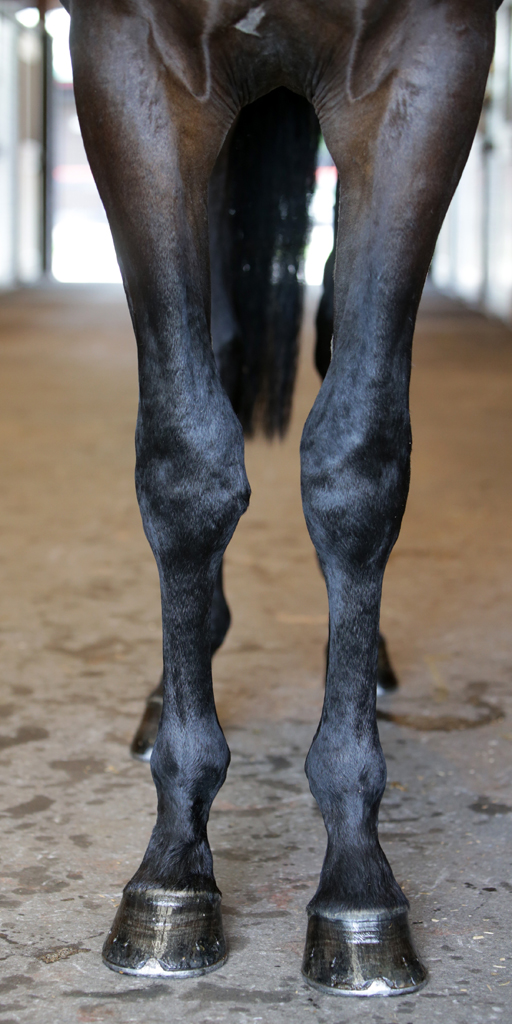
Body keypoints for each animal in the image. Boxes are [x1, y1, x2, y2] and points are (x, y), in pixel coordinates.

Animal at [61, 0, 499, 997]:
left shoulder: (427, 63)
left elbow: (358, 459)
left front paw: (358, 883)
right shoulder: (130, 57)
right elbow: (185, 459)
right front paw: (171, 871)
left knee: (334, 339)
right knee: (217, 351)